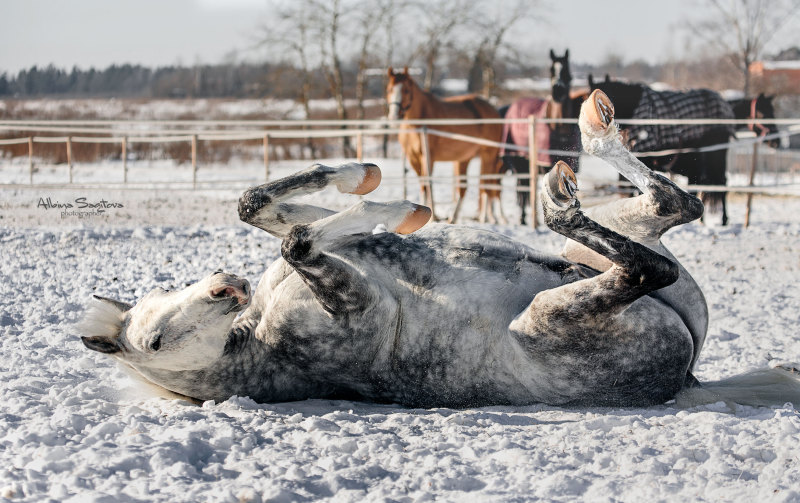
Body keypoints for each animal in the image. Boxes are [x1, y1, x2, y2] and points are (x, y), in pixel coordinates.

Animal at [384, 66, 504, 222]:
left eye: (406, 90)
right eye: (389, 90)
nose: (394, 116)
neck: (416, 122)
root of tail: (493, 110)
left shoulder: (427, 157)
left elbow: (427, 184)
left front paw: (431, 217)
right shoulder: (413, 158)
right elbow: (423, 185)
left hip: (488, 154)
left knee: (486, 186)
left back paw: (484, 218)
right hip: (464, 158)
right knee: (464, 188)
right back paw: (453, 218)